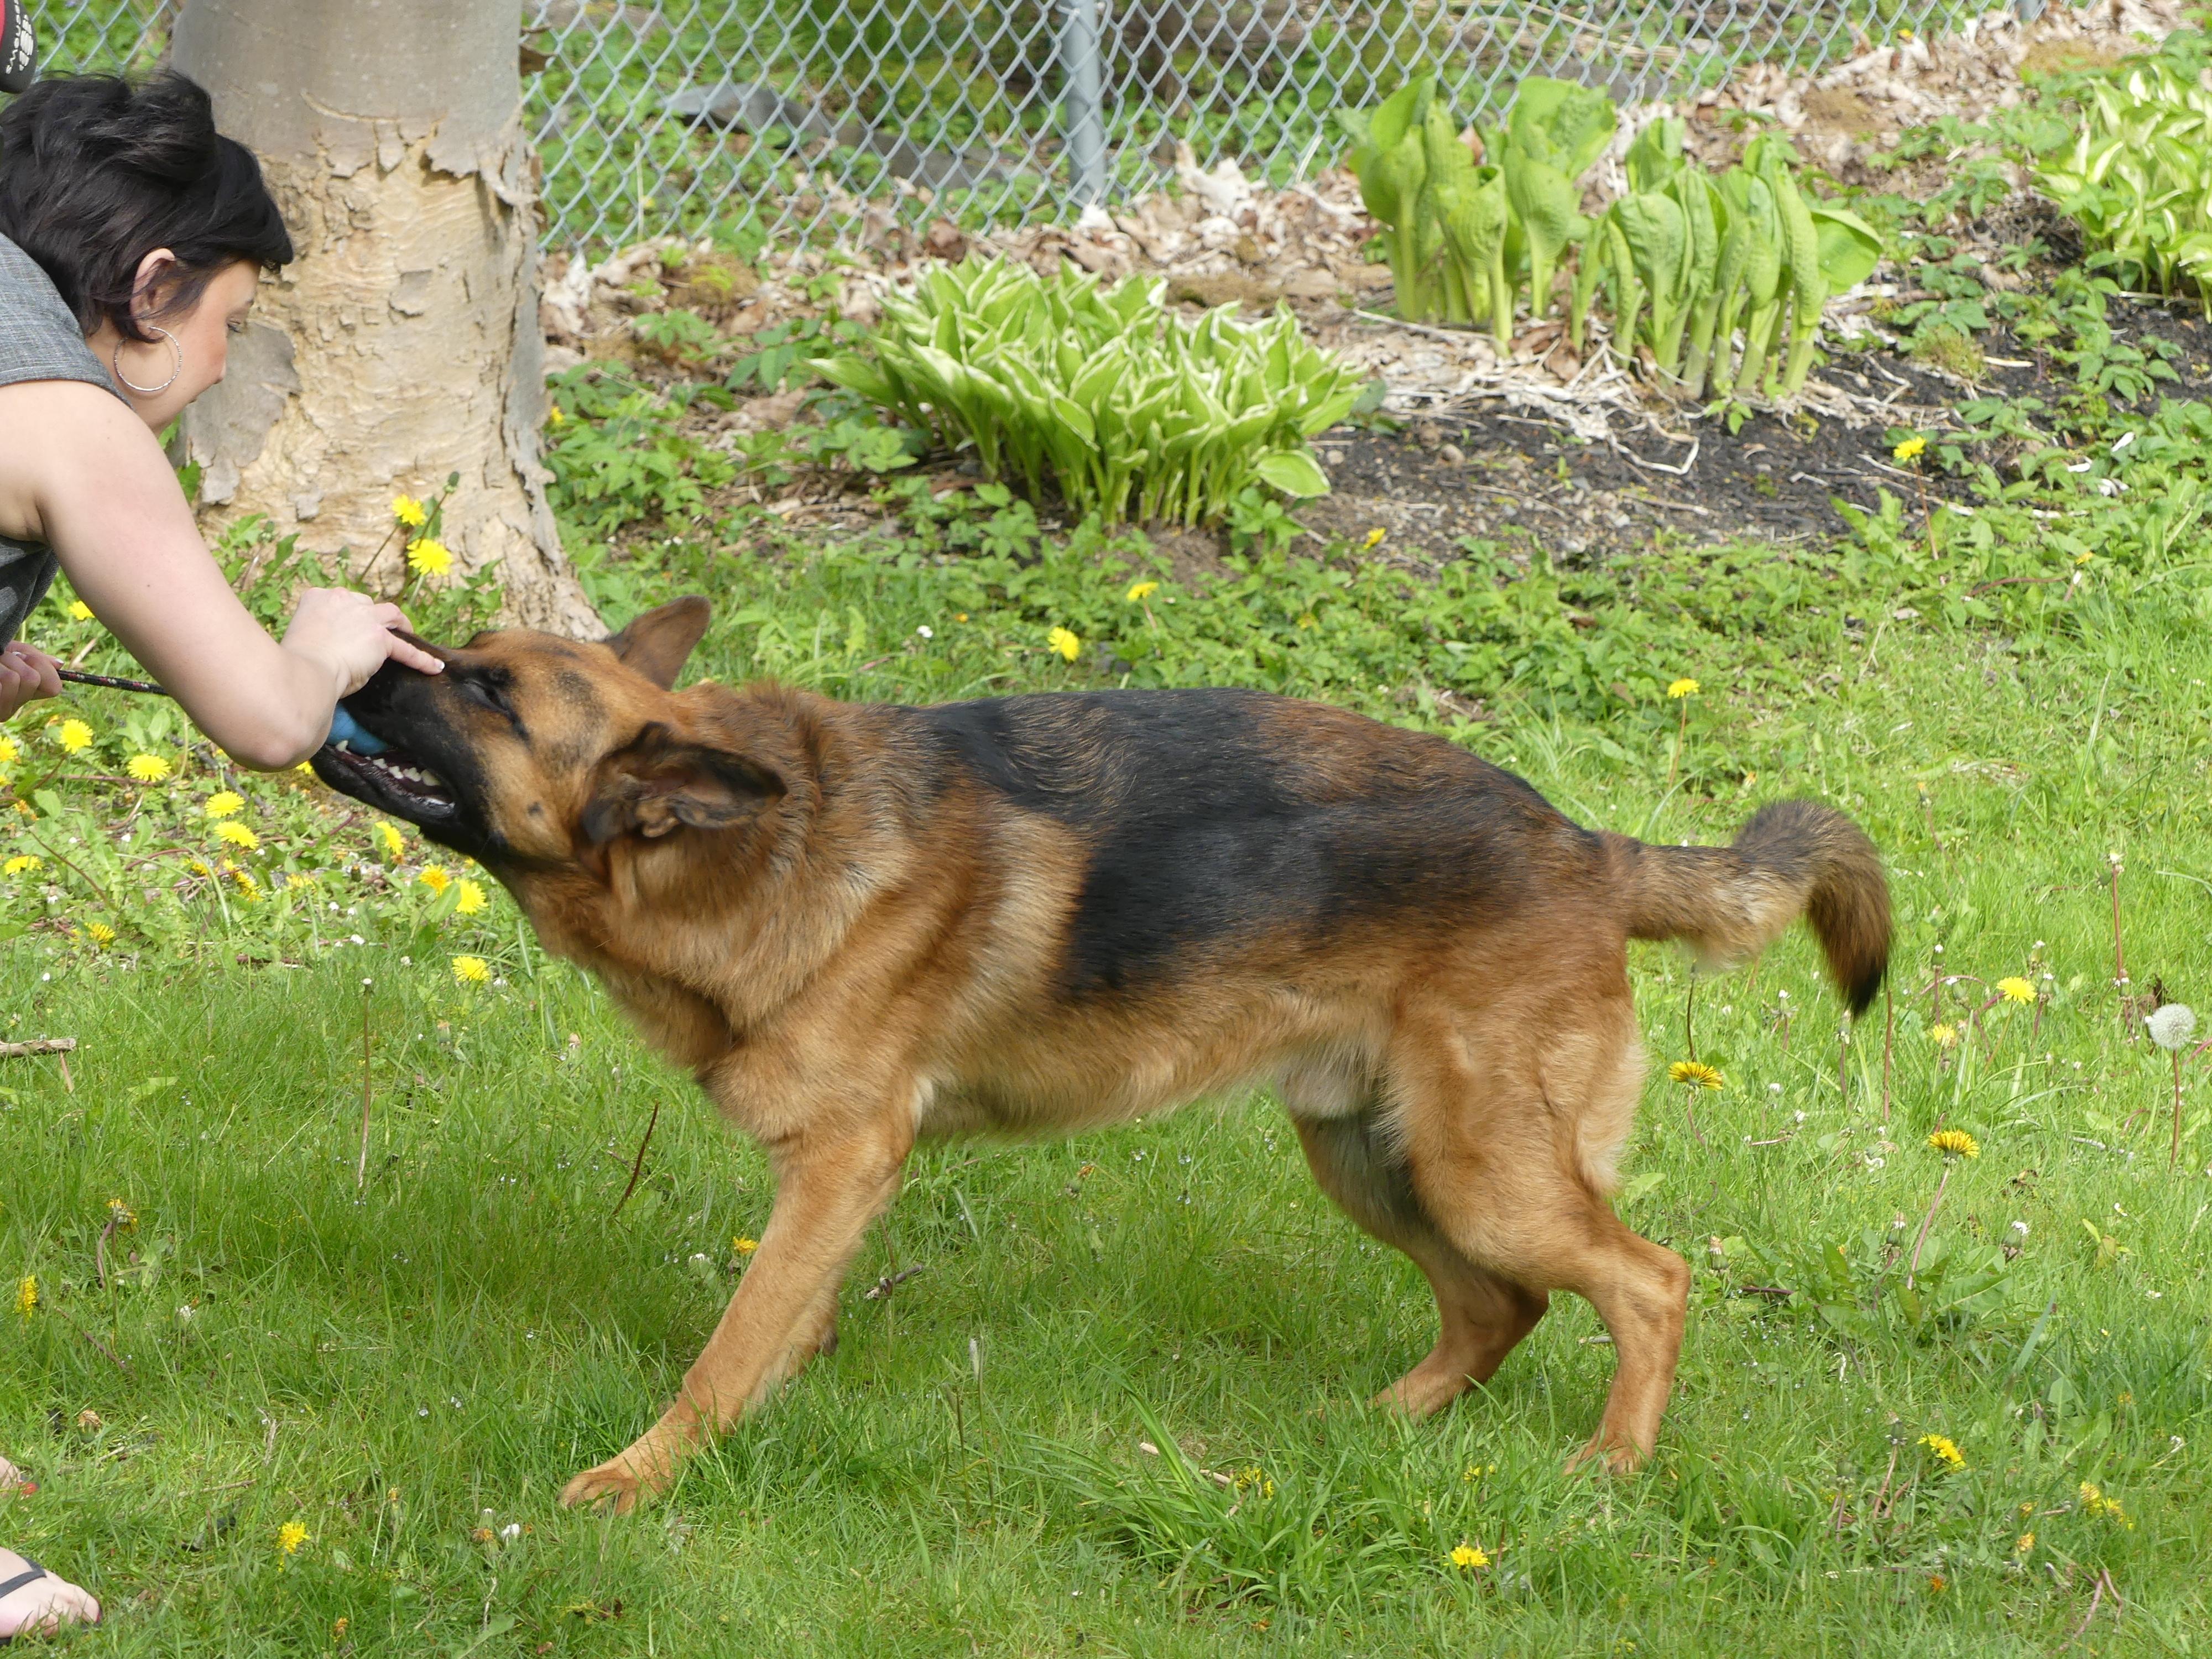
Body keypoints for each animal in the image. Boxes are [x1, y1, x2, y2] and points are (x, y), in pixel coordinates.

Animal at [321, 606, 1893, 1513]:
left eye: (488, 694)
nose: (358, 658)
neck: (752, 847)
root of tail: (1577, 845)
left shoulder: (840, 1162)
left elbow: (725, 1350)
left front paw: (642, 1479)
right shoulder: (832, 1188)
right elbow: (783, 1322)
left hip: (1477, 1168)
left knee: (1646, 1282)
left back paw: (1611, 1466)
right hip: (1374, 1160)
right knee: (1496, 1306)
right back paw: (1376, 1428)